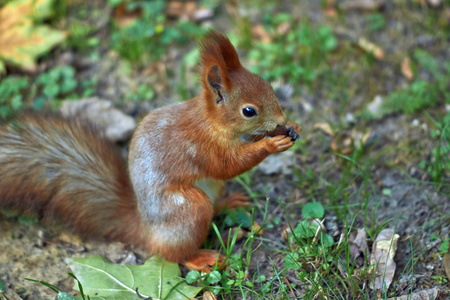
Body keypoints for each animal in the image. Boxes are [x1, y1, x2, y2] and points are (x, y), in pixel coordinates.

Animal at [0, 31, 302, 272]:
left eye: (268, 85)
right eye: (248, 111)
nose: (282, 120)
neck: (210, 121)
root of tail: (146, 230)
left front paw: (291, 128)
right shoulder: (200, 147)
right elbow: (228, 165)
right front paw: (271, 144)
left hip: (210, 190)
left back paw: (230, 204)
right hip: (189, 209)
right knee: (174, 254)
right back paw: (202, 258)